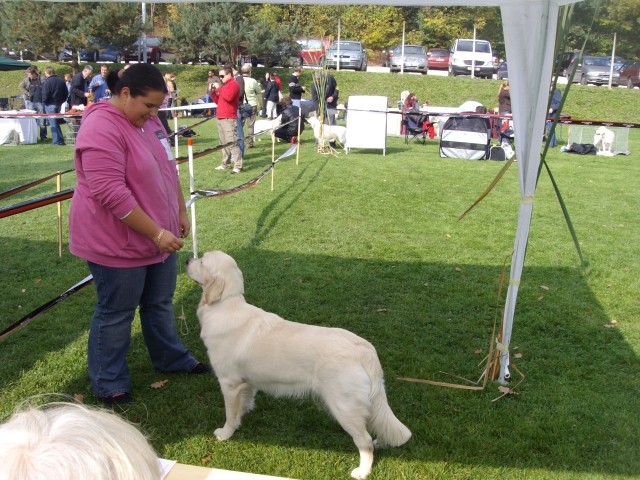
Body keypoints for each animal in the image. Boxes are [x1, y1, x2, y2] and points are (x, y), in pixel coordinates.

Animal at [188, 251, 412, 480]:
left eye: (202, 261)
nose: (188, 259)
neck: (225, 304)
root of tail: (364, 349)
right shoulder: (246, 382)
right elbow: (245, 402)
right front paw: (244, 413)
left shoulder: (229, 383)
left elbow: (230, 414)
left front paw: (225, 433)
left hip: (344, 407)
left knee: (365, 441)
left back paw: (362, 471)